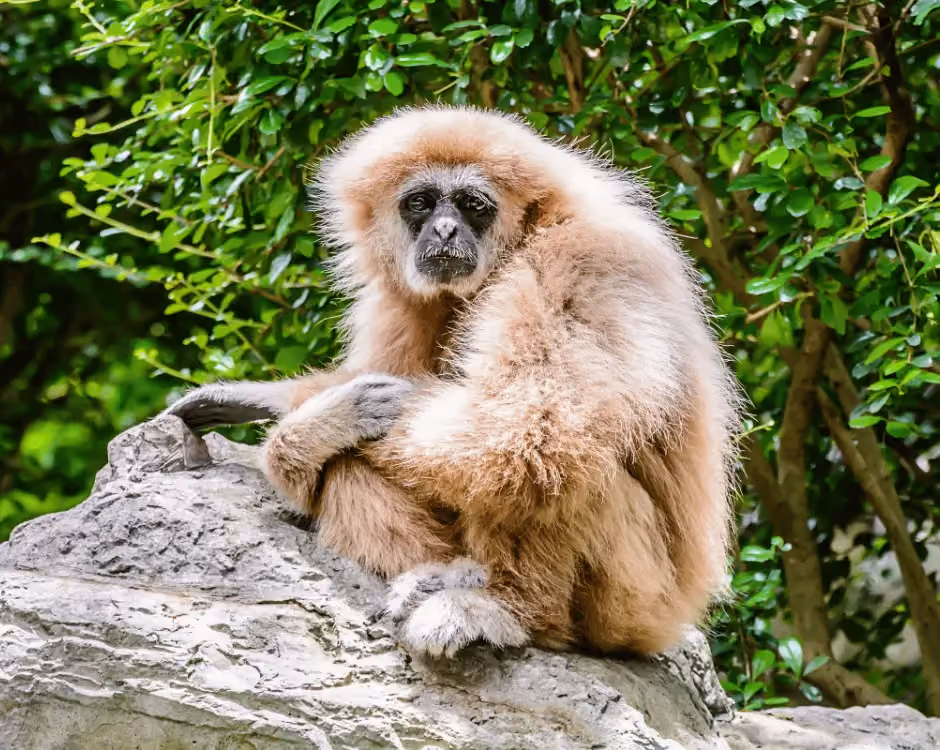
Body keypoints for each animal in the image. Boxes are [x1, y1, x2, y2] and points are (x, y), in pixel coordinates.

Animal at [161, 105, 741, 659]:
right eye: (420, 203)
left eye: (471, 204)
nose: (443, 230)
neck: (525, 241)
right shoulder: (404, 299)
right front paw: (278, 406)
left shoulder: (580, 264)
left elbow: (532, 429)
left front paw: (300, 432)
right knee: (353, 462)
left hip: (637, 599)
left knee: (551, 463)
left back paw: (506, 610)